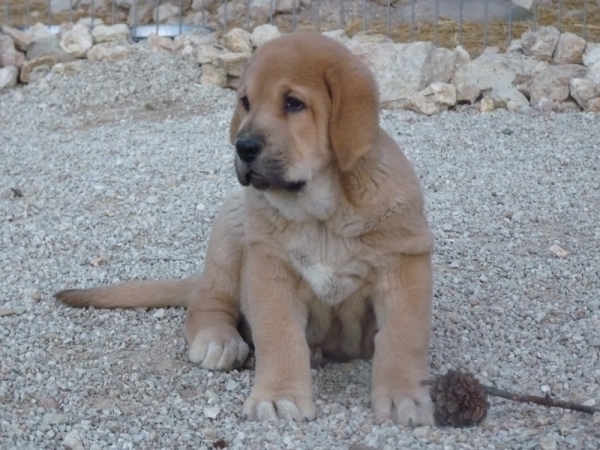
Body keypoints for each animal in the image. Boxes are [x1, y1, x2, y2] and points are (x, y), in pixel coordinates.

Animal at [57, 31, 436, 426]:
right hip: (232, 221)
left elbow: (402, 338)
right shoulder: (270, 270)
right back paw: (219, 340)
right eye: (246, 102)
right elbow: (279, 336)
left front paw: (404, 396)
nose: (244, 146)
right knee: (207, 301)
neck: (322, 211)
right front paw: (279, 396)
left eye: (293, 103)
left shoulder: (404, 266)